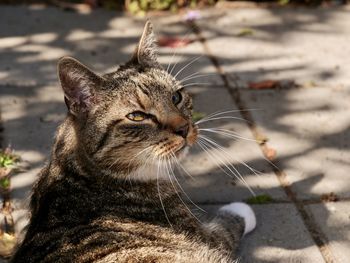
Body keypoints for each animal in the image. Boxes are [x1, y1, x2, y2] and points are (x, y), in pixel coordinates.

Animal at [12, 21, 256, 262]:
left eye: (176, 97)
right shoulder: (207, 238)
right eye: (137, 116)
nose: (184, 128)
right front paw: (241, 209)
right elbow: (227, 228)